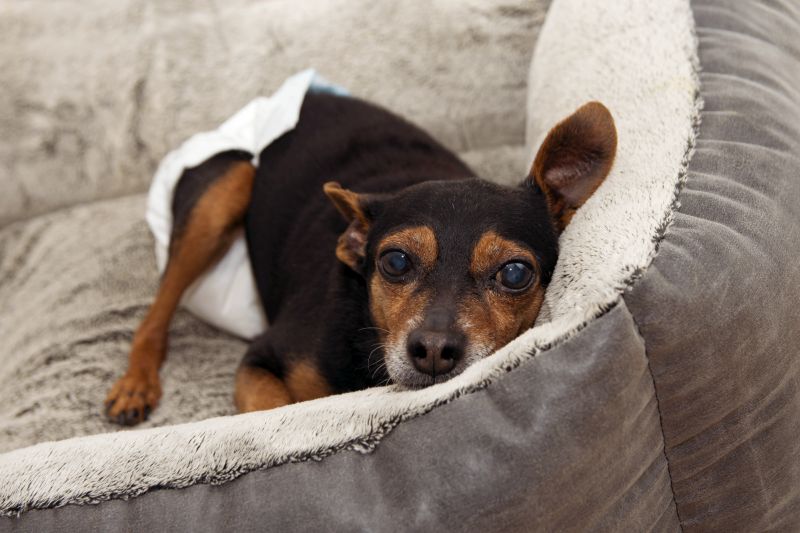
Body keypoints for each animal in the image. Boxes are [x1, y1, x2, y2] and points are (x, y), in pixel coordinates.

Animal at [104, 90, 620, 424]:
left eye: (514, 273)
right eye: (395, 262)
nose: (434, 350)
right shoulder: (261, 360)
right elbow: (279, 414)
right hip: (223, 190)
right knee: (156, 312)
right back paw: (135, 385)